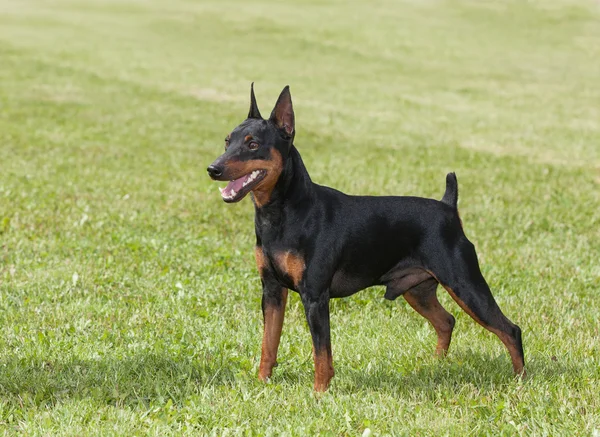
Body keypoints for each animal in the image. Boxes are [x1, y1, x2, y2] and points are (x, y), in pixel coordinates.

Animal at [207, 83, 524, 390]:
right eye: (227, 141)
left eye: (253, 144)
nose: (213, 168)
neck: (281, 213)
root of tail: (448, 207)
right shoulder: (272, 291)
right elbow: (268, 344)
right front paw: (262, 383)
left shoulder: (315, 297)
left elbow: (322, 353)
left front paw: (319, 393)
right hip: (418, 290)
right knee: (447, 321)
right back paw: (437, 364)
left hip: (465, 285)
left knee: (510, 329)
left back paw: (519, 379)